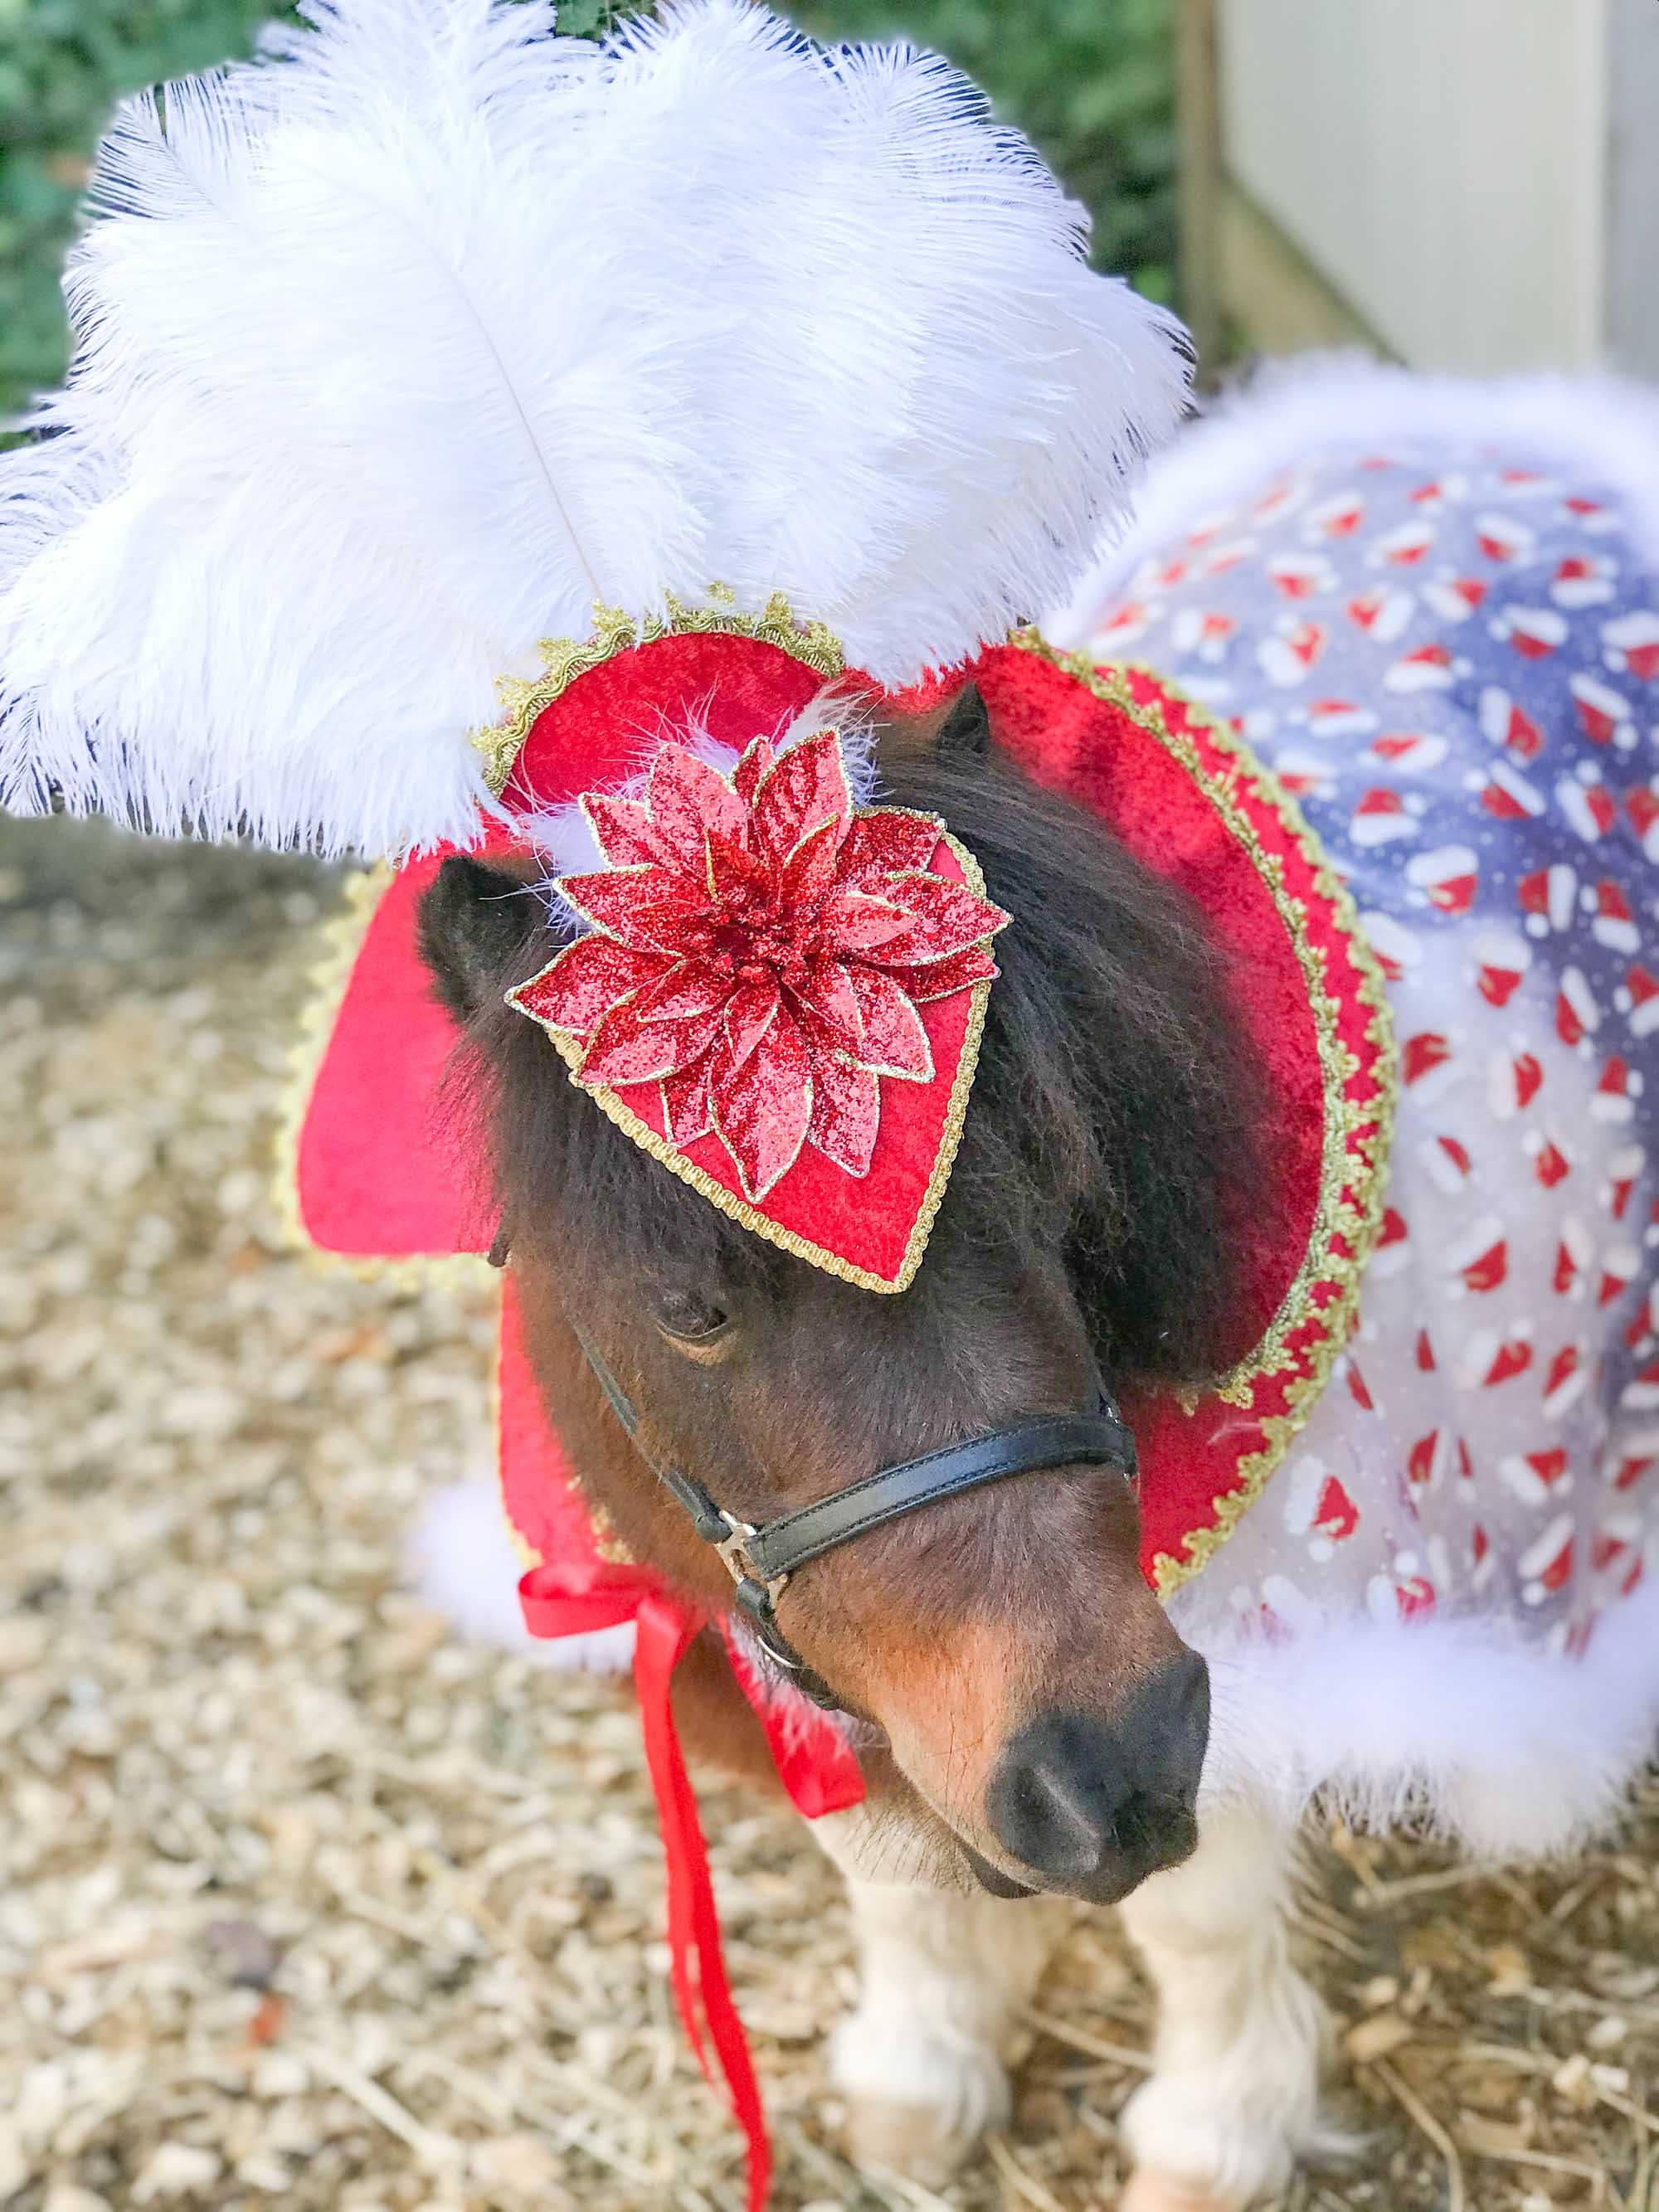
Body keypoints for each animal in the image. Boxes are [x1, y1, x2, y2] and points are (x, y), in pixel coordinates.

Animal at [419, 358, 1659, 2212]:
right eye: (692, 1300)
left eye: (1070, 1189)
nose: (1108, 1770)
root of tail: (1504, 429)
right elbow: (892, 1878)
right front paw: (920, 2072)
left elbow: (1202, 1912)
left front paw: (1216, 2132)